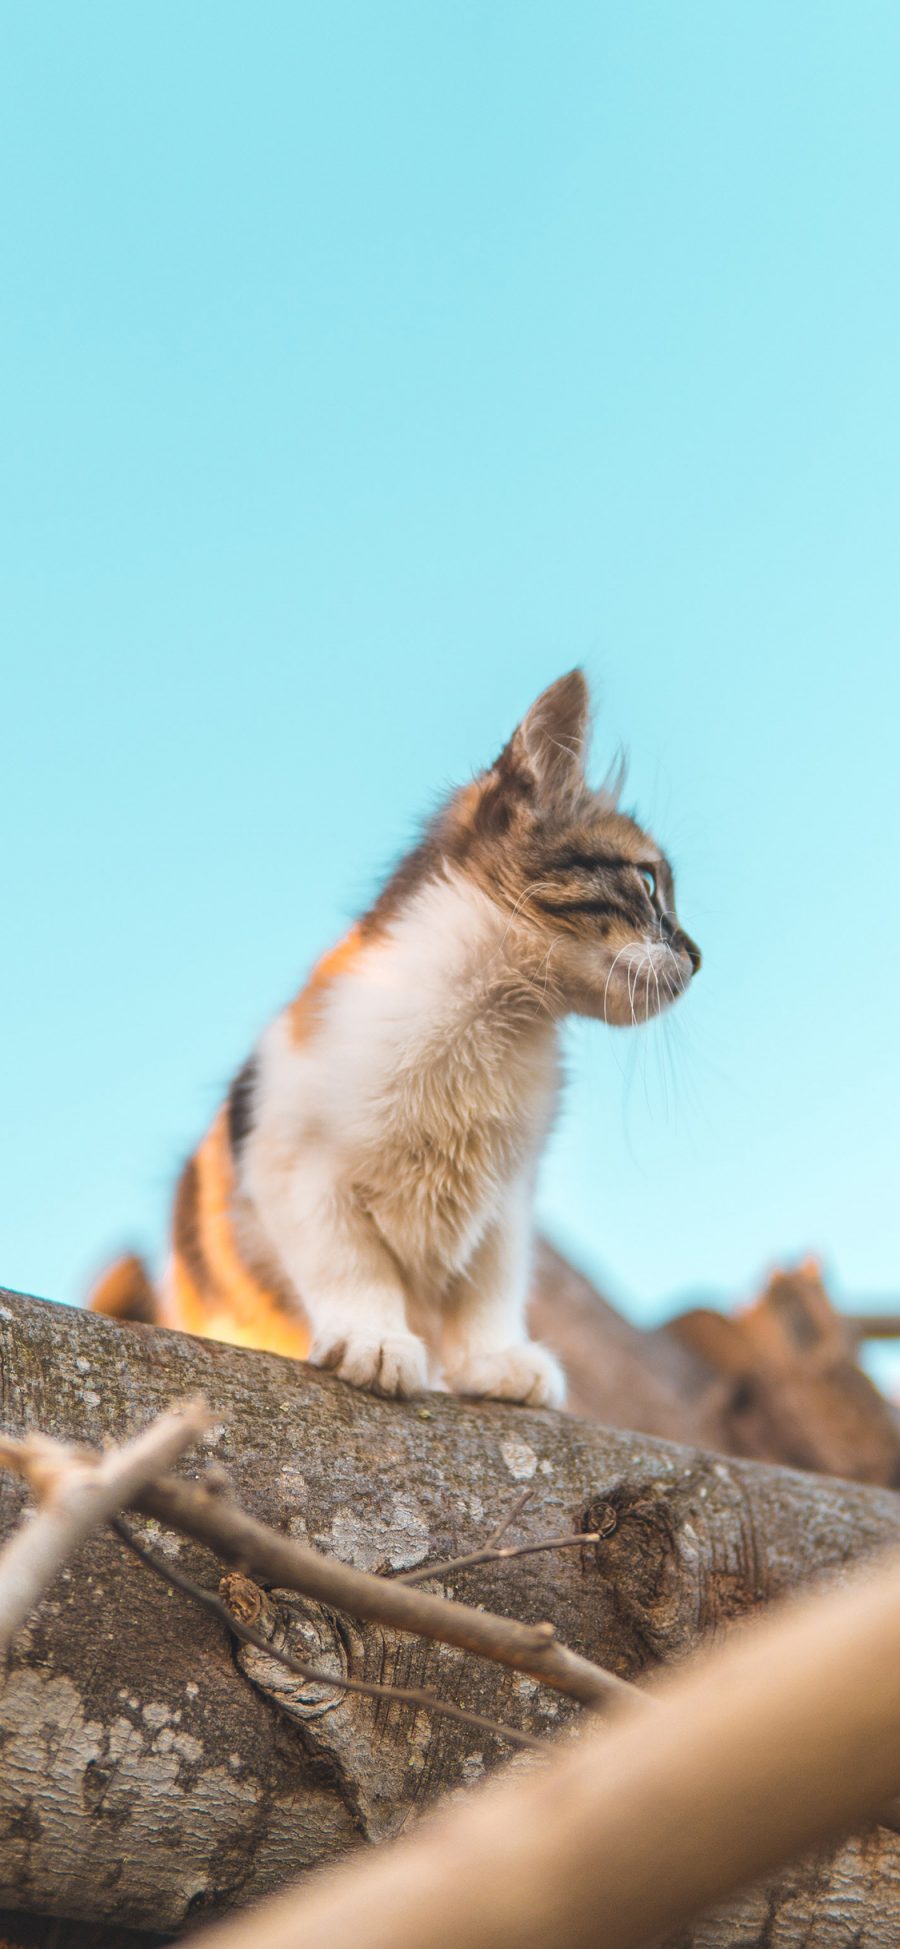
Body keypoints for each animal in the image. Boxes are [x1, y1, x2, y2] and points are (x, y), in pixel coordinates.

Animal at [91, 670, 701, 1403]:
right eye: (648, 882)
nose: (699, 956)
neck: (493, 1018)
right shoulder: (293, 1162)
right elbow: (351, 1264)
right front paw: (374, 1338)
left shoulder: (508, 1199)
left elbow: (491, 1285)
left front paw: (495, 1359)